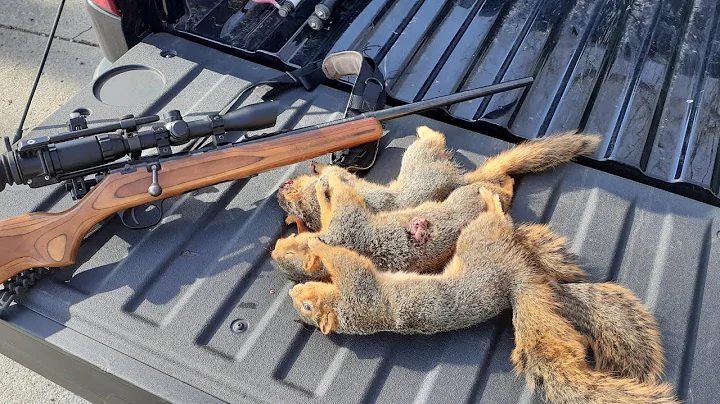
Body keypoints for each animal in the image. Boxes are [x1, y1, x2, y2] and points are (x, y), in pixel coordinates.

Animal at [277, 126, 600, 232]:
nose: (281, 186)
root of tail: (457, 179)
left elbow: (334, 172)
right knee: (436, 137)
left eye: (289, 186)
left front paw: (316, 164)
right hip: (420, 158)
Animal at [288, 190, 677, 403]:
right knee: (495, 220)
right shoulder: (361, 291)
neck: (347, 310)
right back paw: (492, 202)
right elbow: (349, 262)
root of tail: (521, 274)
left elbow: (344, 259)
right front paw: (317, 245)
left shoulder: (359, 288)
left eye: (306, 305)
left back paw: (490, 198)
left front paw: (314, 243)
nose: (293, 292)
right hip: (479, 238)